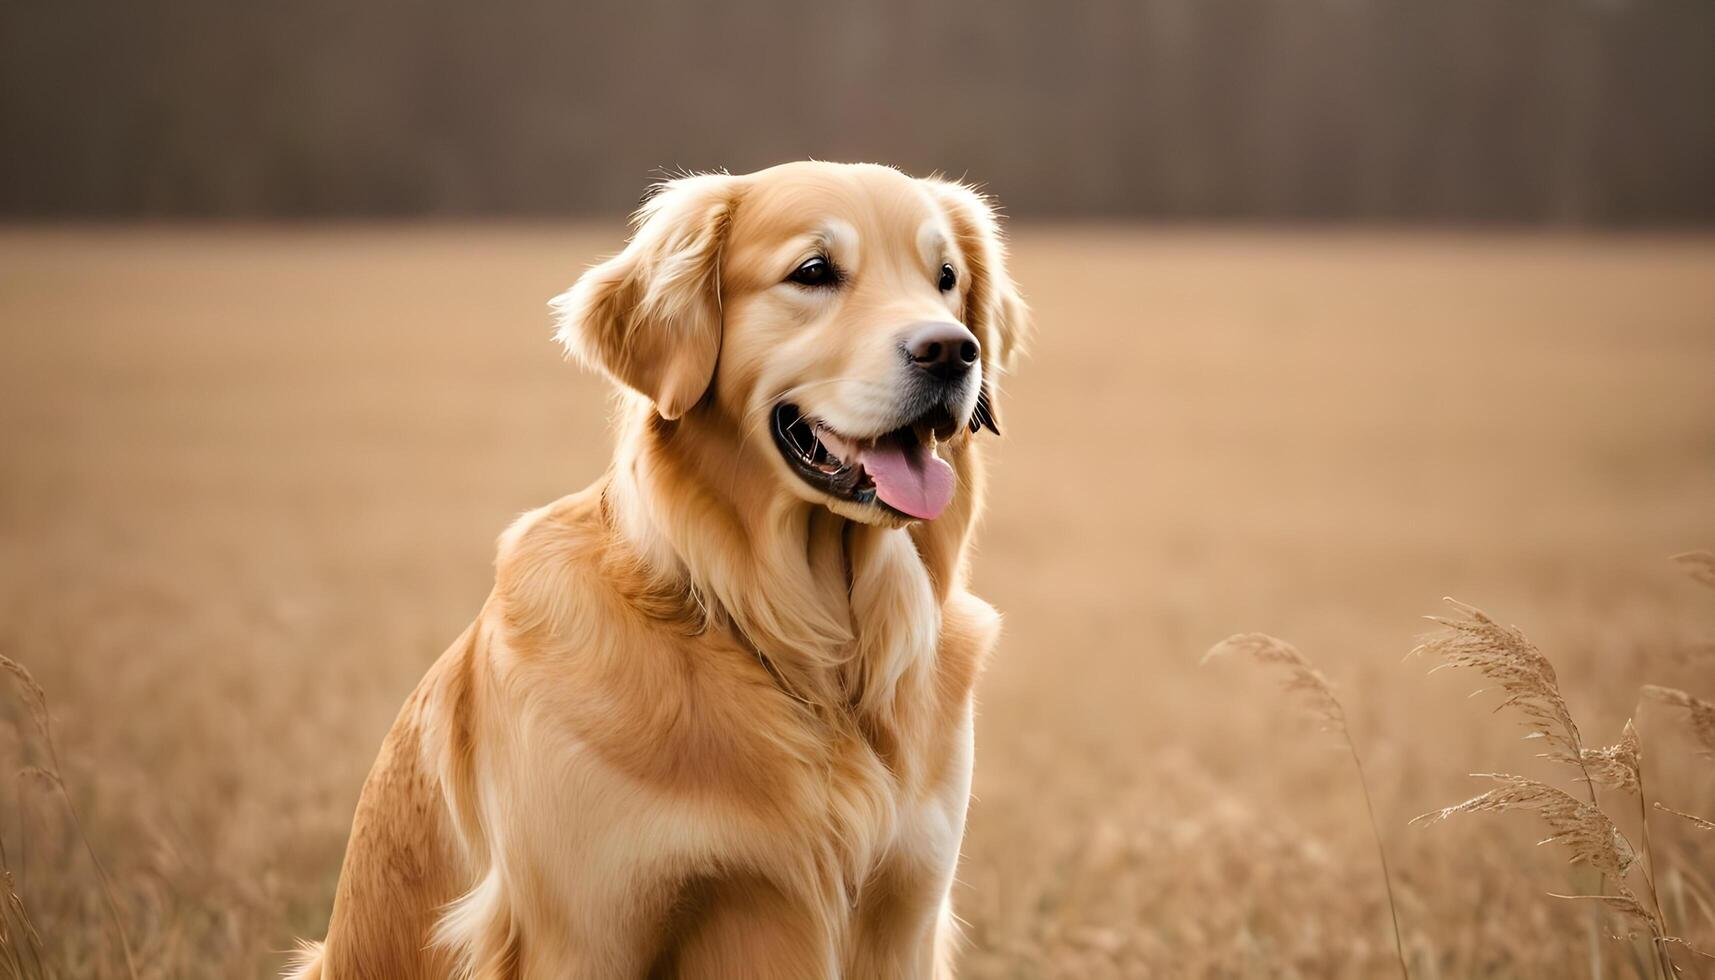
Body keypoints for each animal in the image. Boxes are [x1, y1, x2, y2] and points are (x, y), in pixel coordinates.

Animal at [291, 163, 1029, 980]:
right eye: (813, 272)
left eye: (946, 279)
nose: (952, 352)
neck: (809, 657)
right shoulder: (581, 934)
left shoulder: (905, 912)